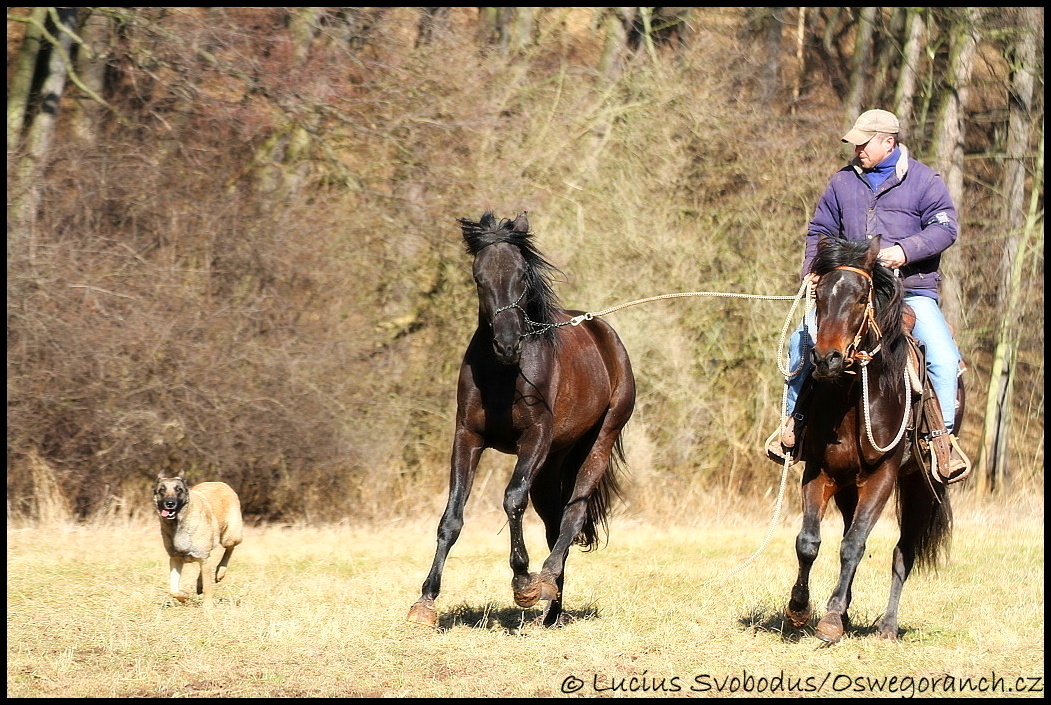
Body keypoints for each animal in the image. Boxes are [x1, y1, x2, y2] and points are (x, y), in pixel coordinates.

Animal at [153, 474, 241, 605]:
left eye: (179, 490)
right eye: (162, 490)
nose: (170, 503)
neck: (178, 524)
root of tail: (219, 483)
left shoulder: (203, 556)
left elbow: (208, 587)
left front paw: (208, 606)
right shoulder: (175, 558)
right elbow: (173, 590)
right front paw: (183, 596)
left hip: (229, 537)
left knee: (229, 549)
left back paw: (220, 572)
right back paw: (199, 585)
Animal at [405, 211, 634, 630]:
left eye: (522, 276)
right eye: (478, 277)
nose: (508, 345)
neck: (504, 374)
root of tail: (604, 333)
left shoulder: (534, 438)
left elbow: (512, 499)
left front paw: (523, 582)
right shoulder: (468, 438)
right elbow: (452, 517)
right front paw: (425, 601)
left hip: (599, 442)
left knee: (572, 516)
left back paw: (544, 581)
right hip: (553, 463)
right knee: (553, 522)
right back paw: (552, 608)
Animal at [790, 237, 962, 647]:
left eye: (859, 298)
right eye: (819, 296)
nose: (826, 359)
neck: (854, 398)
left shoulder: (882, 477)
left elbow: (855, 545)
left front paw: (830, 620)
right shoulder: (821, 472)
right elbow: (809, 541)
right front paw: (801, 608)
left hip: (920, 486)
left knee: (903, 553)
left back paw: (887, 626)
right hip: (848, 487)